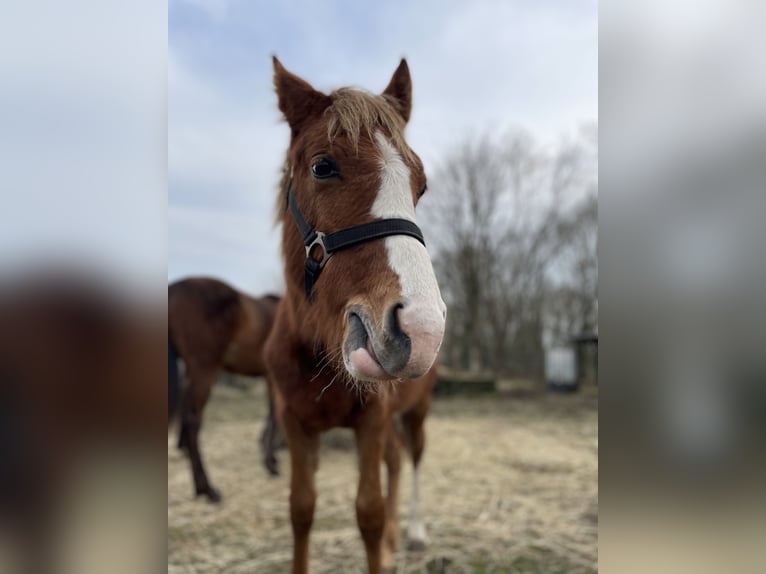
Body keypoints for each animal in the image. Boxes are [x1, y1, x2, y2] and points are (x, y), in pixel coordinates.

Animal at [264, 57, 447, 573]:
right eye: (322, 167)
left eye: (421, 185)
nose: (420, 330)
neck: (315, 351)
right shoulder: (295, 426)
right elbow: (301, 510)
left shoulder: (371, 420)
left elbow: (369, 511)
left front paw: (382, 540)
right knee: (397, 461)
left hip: (416, 412)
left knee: (414, 458)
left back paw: (414, 533)